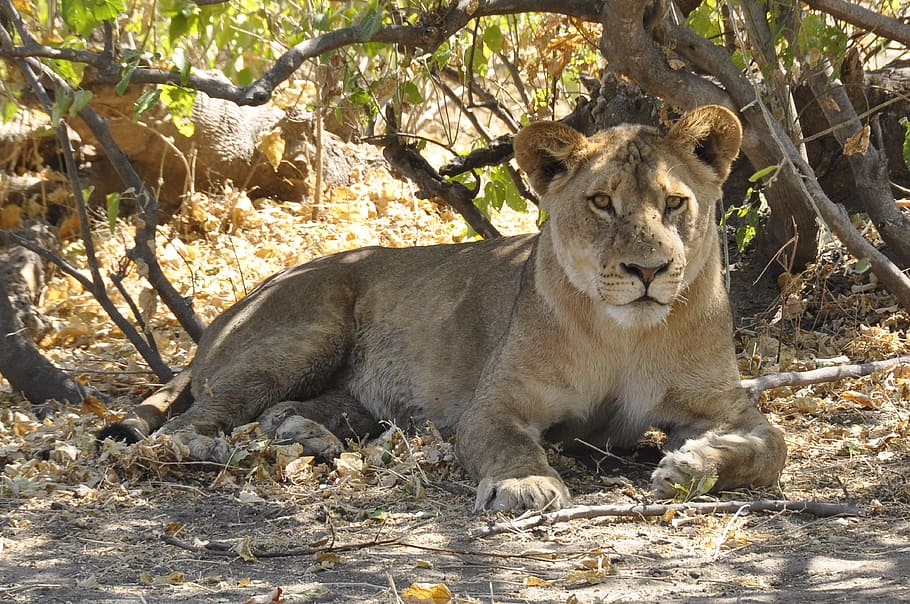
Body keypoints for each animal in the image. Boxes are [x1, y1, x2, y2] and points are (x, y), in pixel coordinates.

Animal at [101, 105, 787, 512]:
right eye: (602, 203)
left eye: (673, 204)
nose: (649, 271)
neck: (627, 336)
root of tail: (226, 314)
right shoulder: (494, 405)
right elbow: (508, 444)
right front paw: (525, 484)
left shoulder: (724, 406)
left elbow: (773, 448)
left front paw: (692, 466)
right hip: (307, 331)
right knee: (180, 428)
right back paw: (222, 452)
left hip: (353, 392)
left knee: (284, 412)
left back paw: (309, 439)